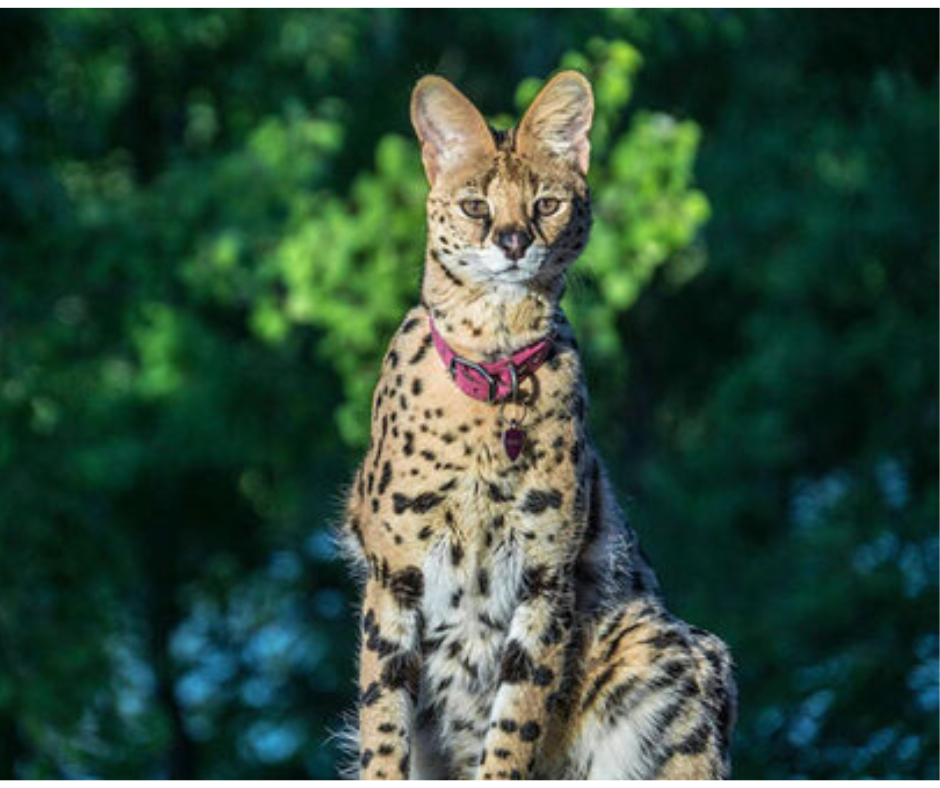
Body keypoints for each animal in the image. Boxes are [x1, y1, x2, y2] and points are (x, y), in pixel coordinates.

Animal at [342, 71, 740, 780]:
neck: (495, 361)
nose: (512, 242)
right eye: (476, 206)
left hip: (665, 649)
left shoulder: (545, 576)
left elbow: (515, 722)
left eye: (547, 204)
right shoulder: (394, 578)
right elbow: (382, 724)